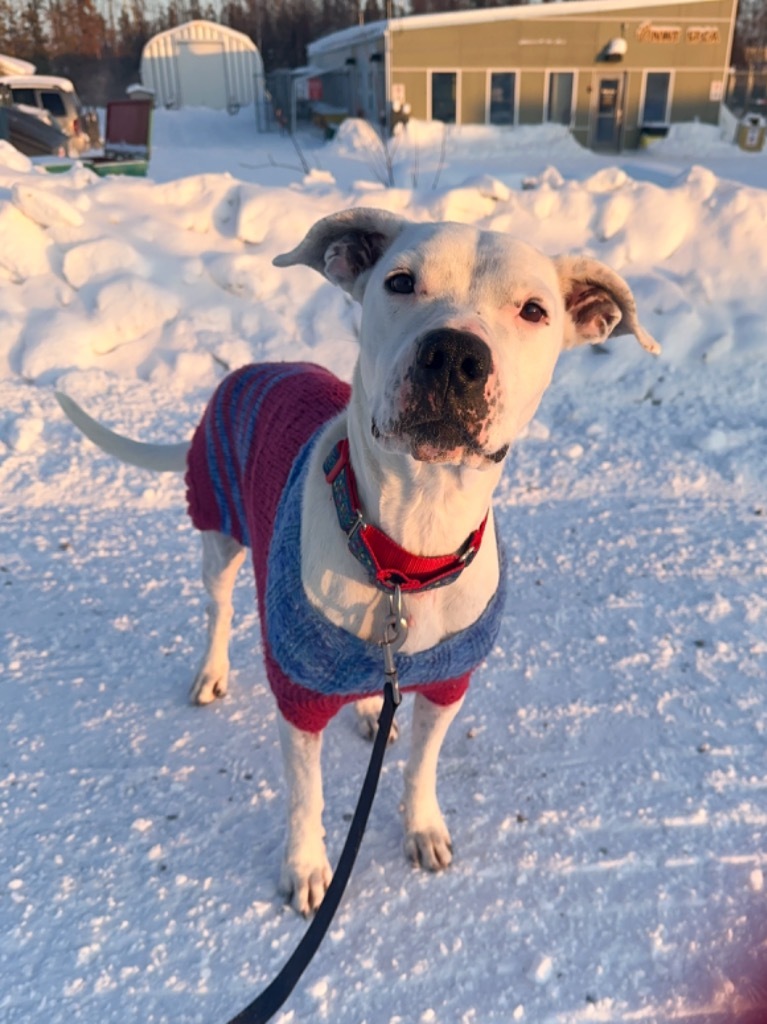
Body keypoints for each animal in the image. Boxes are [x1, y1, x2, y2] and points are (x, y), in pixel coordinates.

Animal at [58, 205, 659, 913]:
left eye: (534, 310)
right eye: (400, 282)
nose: (454, 355)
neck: (405, 549)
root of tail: (247, 370)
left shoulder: (448, 685)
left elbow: (422, 766)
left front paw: (422, 827)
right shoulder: (299, 693)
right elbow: (306, 796)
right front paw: (305, 867)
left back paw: (373, 708)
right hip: (217, 533)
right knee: (218, 607)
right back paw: (211, 671)